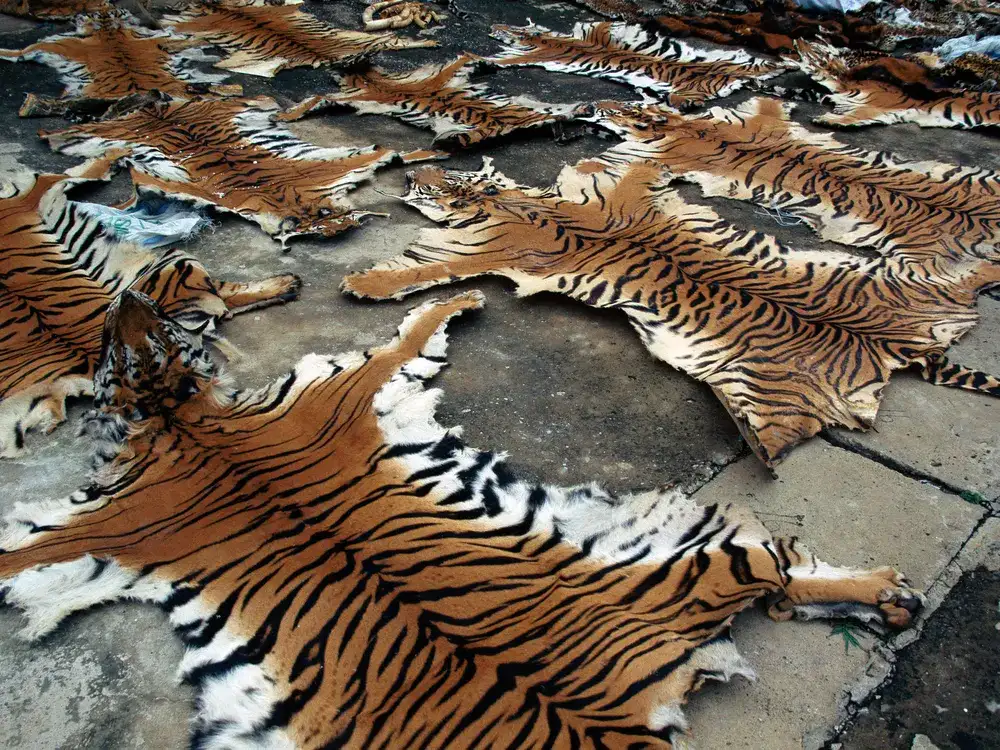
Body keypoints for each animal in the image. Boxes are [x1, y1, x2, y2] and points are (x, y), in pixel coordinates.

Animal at [0, 152, 299, 458]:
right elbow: (80, 172)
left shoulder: (36, 189)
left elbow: (81, 172)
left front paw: (116, 159)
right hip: (178, 262)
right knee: (224, 297)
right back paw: (287, 285)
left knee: (224, 298)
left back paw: (287, 283)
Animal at [0, 288, 922, 749]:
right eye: (125, 339)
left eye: (149, 327)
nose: (125, 294)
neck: (177, 416)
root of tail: (615, 729)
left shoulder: (343, 384)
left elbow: (408, 336)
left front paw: (464, 295)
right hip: (662, 553)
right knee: (780, 573)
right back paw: (891, 598)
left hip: (658, 548)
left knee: (781, 566)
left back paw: (889, 594)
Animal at [279, 55, 593, 149]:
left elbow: (318, 97)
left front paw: (285, 115)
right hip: (538, 111)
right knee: (562, 115)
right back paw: (578, 117)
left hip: (468, 135)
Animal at [341, 156, 1000, 467]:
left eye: (437, 181)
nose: (417, 168)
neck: (500, 202)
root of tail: (899, 347)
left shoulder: (477, 250)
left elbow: (419, 268)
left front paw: (364, 281)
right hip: (913, 282)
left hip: (765, 401)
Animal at [488, 21, 786, 109]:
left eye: (507, 28)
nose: (493, 26)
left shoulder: (536, 55)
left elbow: (505, 59)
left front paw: (485, 59)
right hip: (738, 59)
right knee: (765, 65)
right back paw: (786, 63)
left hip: (685, 93)